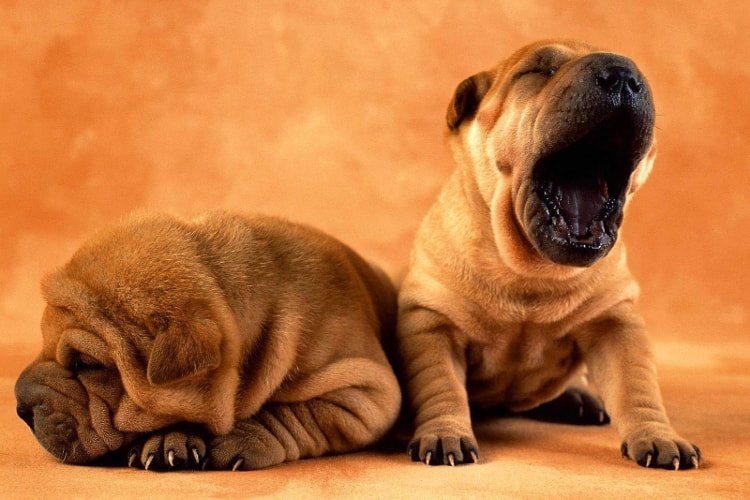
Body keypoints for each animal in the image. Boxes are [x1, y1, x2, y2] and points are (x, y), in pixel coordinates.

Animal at [14, 210, 402, 468]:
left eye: (85, 363)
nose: (19, 407)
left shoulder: (363, 391)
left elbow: (298, 414)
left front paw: (242, 436)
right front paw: (173, 437)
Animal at [400, 39, 704, 468]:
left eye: (635, 72)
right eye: (538, 71)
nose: (623, 75)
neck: (530, 272)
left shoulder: (614, 321)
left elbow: (636, 384)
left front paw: (659, 436)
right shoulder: (431, 321)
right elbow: (440, 384)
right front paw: (445, 434)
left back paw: (577, 396)